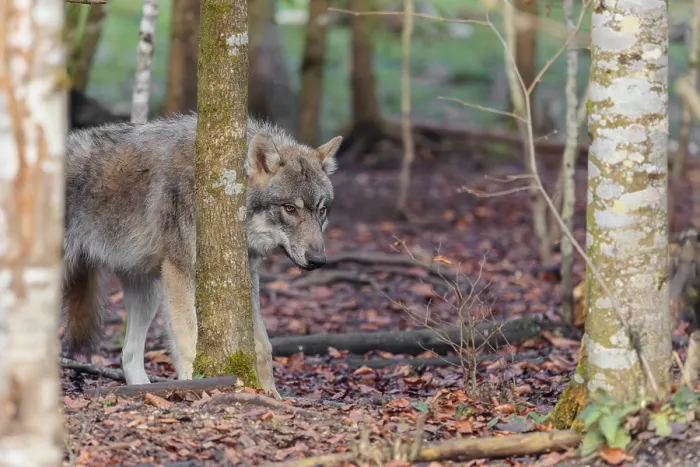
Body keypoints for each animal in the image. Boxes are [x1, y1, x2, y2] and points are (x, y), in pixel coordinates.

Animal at [62, 113, 342, 398]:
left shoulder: (245, 275)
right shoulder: (179, 271)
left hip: (147, 292)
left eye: (321, 211)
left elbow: (264, 346)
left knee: (128, 355)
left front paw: (271, 395)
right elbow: (189, 341)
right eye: (289, 208)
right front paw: (194, 387)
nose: (318, 260)